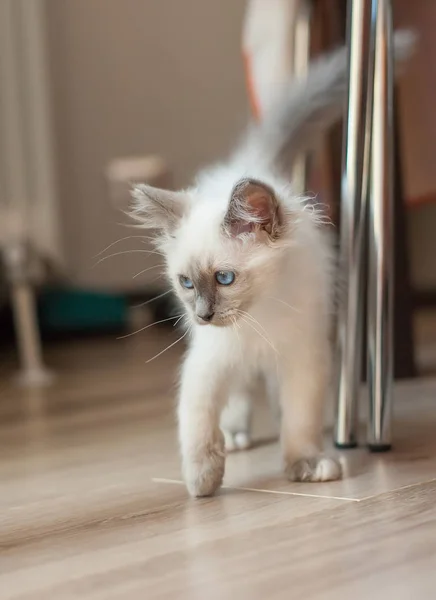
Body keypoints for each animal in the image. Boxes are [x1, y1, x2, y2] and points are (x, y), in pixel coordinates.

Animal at [131, 32, 414, 496]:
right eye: (186, 283)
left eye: (225, 278)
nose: (203, 315)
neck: (257, 321)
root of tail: (250, 165)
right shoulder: (209, 361)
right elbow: (198, 424)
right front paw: (202, 482)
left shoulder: (303, 357)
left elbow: (300, 420)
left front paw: (306, 464)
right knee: (239, 396)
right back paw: (236, 436)